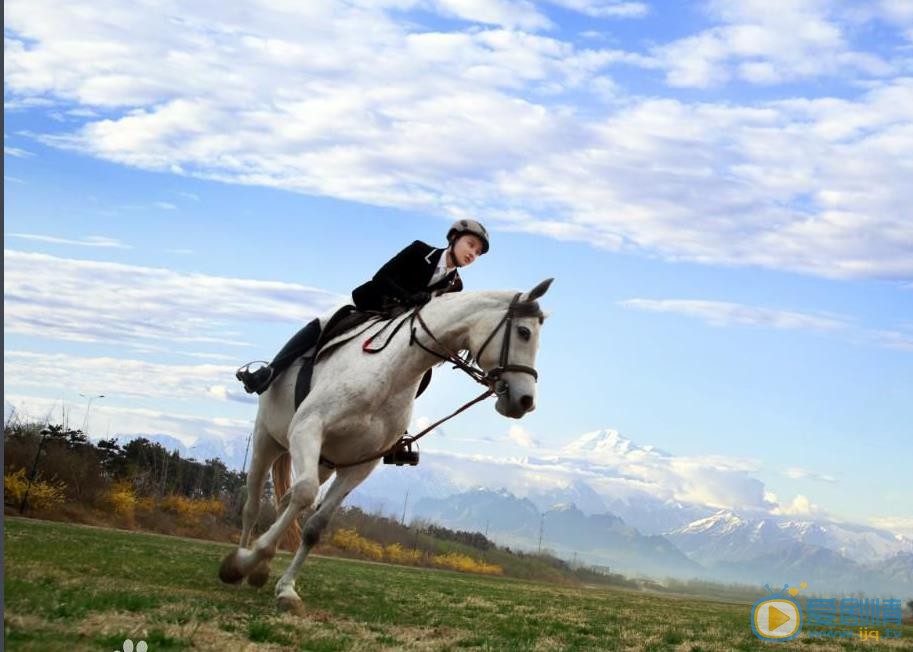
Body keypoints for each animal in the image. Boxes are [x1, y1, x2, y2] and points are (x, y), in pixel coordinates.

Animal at [217, 278, 552, 612]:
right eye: (524, 332)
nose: (525, 401)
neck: (390, 372)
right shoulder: (307, 428)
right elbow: (305, 494)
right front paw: (246, 562)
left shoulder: (361, 464)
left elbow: (315, 525)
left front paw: (286, 589)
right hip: (267, 441)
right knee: (253, 505)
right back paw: (240, 563)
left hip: (324, 462)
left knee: (286, 501)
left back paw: (260, 570)